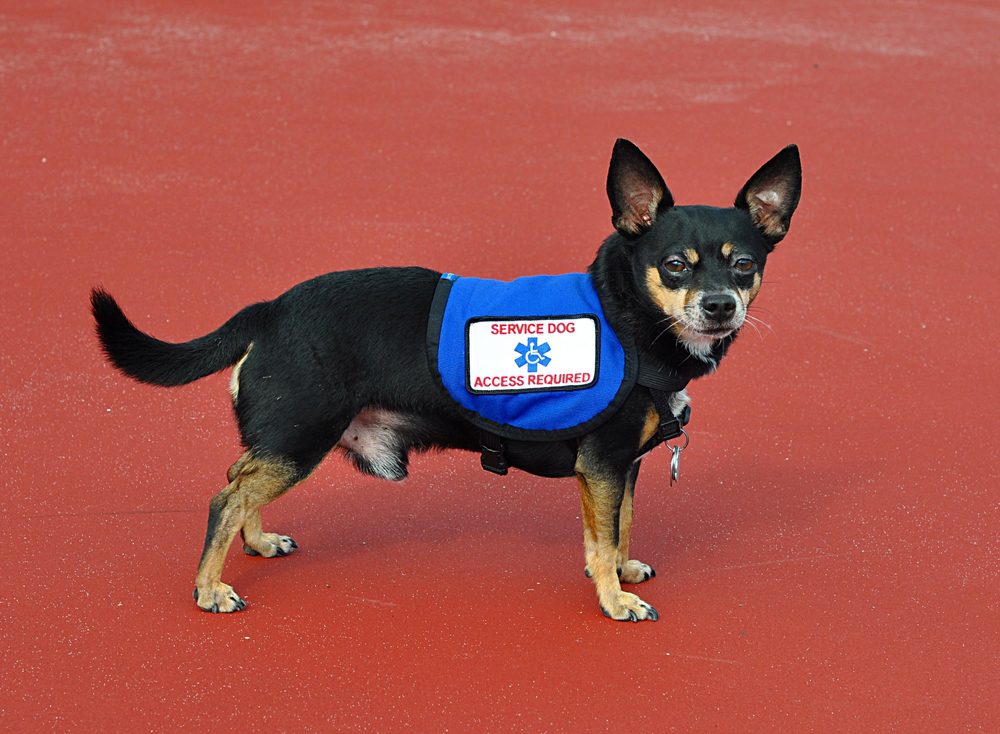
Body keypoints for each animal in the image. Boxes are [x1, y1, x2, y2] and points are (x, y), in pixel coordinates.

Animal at [90, 141, 800, 624]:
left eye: (743, 265)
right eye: (675, 265)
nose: (719, 306)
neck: (630, 318)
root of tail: (269, 310)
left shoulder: (623, 467)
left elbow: (621, 525)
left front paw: (624, 570)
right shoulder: (601, 462)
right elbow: (601, 539)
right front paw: (614, 597)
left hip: (288, 443)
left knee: (241, 484)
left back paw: (259, 542)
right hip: (300, 437)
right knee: (226, 496)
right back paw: (209, 588)